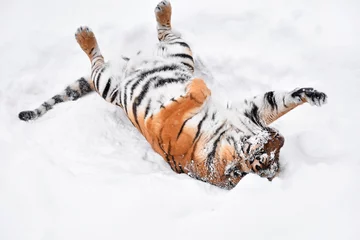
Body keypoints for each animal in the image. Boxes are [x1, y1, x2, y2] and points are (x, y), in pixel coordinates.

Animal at [18, 0, 326, 190]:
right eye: (267, 156)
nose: (279, 137)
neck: (230, 138)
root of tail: (129, 62)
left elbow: (197, 95)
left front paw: (199, 88)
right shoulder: (248, 112)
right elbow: (280, 101)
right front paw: (314, 95)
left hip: (118, 79)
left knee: (104, 58)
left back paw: (88, 32)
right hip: (165, 57)